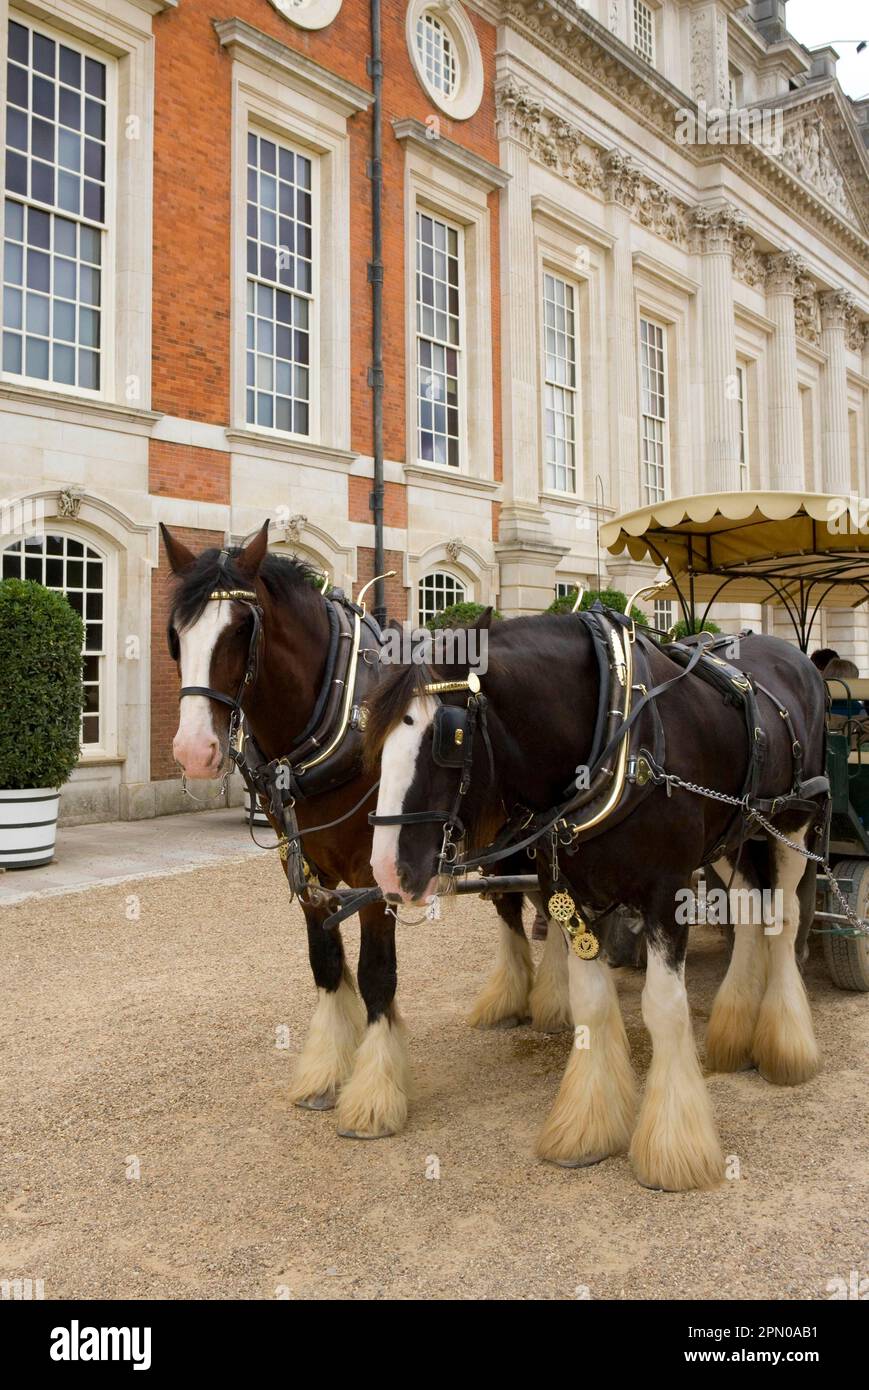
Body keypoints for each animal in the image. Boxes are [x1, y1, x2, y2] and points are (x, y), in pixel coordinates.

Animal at [159, 522, 561, 1139]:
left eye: (242, 628)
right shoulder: (303, 867)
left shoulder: (378, 872)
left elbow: (376, 975)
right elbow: (325, 964)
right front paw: (325, 1074)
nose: (194, 750)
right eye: (176, 634)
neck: (336, 716)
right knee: (515, 904)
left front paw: (374, 1096)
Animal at [367, 611, 828, 1195]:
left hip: (793, 820)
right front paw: (587, 1127)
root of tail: (795, 658)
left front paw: (673, 1147)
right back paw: (734, 1032)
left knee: (783, 922)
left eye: (448, 737)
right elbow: (589, 1003)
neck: (614, 739)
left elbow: (664, 1006)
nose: (387, 871)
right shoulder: (567, 894)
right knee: (748, 912)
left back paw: (786, 1047)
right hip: (736, 832)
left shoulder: (667, 892)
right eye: (372, 734)